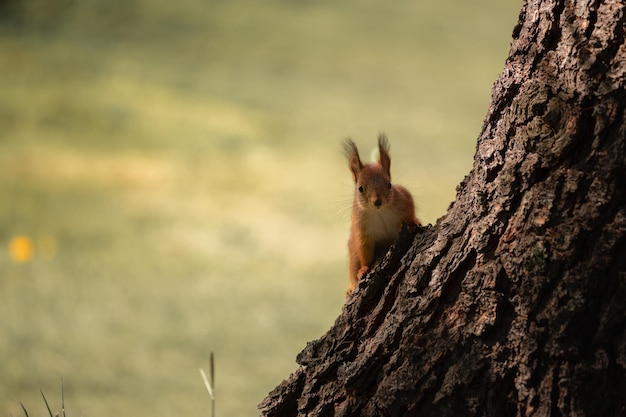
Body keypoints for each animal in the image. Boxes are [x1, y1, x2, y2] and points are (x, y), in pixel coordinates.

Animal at [342, 133, 420, 292]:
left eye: (389, 184)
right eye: (360, 188)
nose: (377, 202)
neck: (378, 212)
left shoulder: (404, 198)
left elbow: (410, 210)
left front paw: (413, 221)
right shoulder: (361, 227)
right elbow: (364, 249)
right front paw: (364, 268)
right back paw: (351, 286)